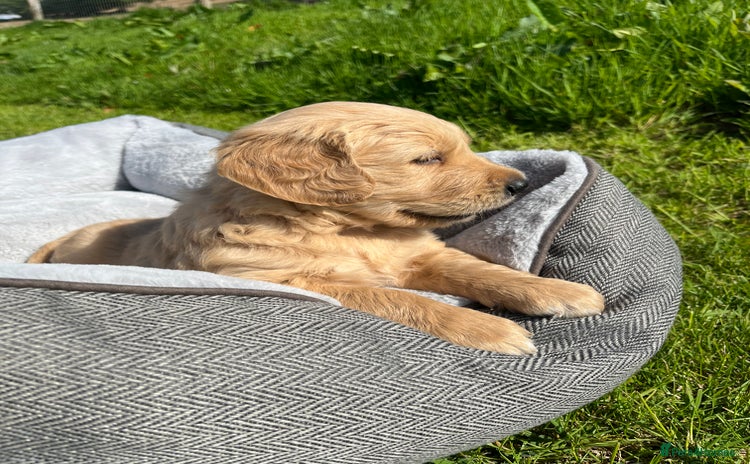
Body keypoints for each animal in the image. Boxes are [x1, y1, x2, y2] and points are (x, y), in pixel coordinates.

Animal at [28, 102, 604, 354]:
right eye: (427, 159)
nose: (519, 184)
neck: (346, 231)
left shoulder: (421, 255)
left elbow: (478, 269)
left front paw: (560, 292)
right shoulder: (298, 281)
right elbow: (404, 299)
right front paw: (488, 330)